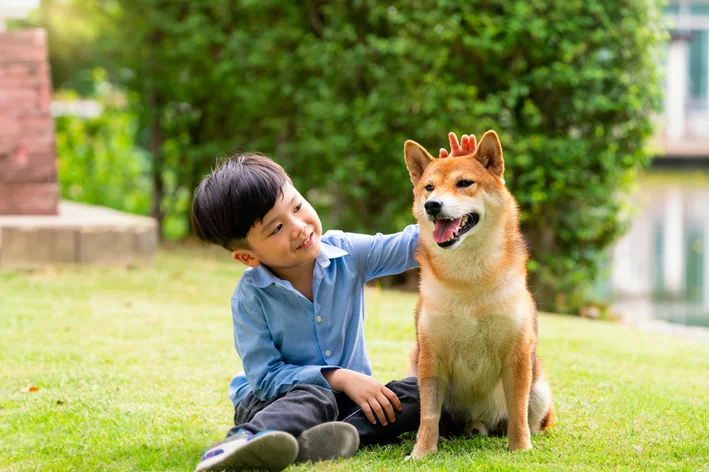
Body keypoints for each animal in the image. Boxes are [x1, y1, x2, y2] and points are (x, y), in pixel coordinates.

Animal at [404, 130, 552, 458]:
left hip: (539, 387)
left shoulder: (517, 355)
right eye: (429, 187)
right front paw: (422, 452)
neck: (468, 281)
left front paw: (521, 449)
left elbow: (518, 412)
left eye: (464, 183)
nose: (432, 205)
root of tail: (478, 422)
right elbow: (428, 416)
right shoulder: (430, 357)